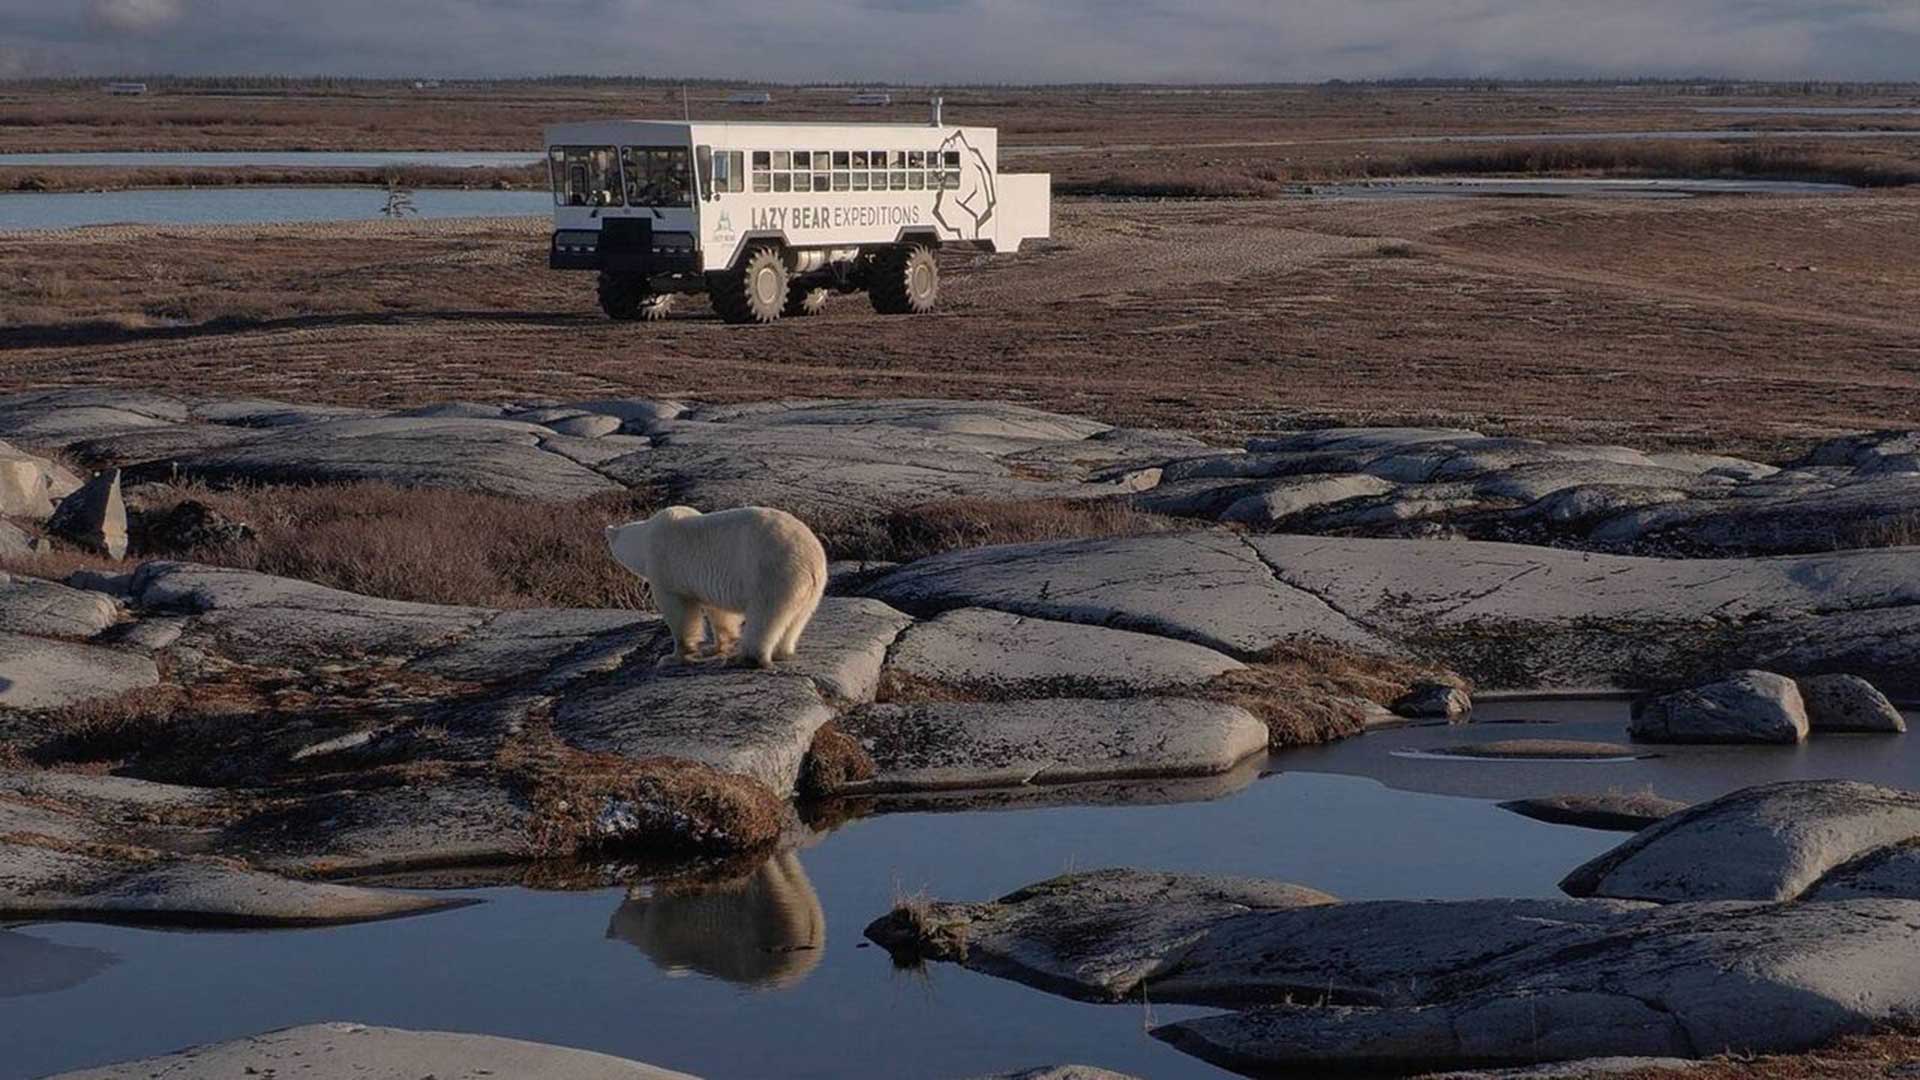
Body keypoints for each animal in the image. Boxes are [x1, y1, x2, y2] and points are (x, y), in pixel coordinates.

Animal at [606, 505, 828, 669]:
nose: (606, 533)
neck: (645, 538)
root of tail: (811, 561)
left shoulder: (665, 567)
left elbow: (680, 613)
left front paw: (673, 656)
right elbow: (719, 611)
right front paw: (715, 647)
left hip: (772, 573)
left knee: (765, 617)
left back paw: (745, 658)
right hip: (810, 589)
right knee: (796, 618)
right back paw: (783, 652)